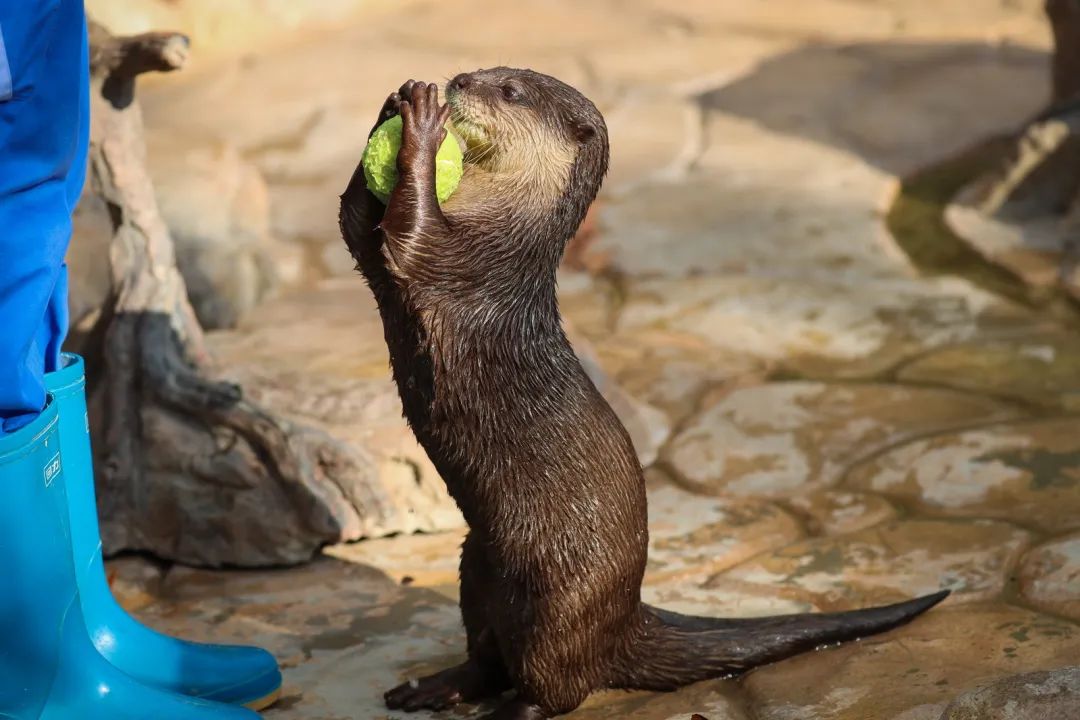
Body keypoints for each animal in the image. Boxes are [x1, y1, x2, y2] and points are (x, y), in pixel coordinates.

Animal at [336, 69, 946, 720]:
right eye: (491, 71)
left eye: (511, 91)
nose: (459, 80)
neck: (510, 227)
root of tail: (627, 616)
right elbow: (355, 228)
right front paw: (388, 110)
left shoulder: (465, 258)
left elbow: (410, 232)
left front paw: (422, 123)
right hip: (476, 566)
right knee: (486, 657)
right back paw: (433, 688)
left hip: (560, 605)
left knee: (555, 688)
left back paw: (506, 708)